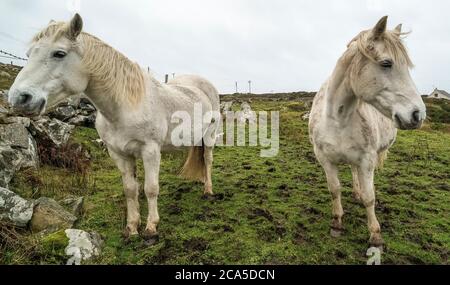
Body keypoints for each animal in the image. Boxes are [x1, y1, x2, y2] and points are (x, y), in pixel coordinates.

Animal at [8, 13, 220, 240]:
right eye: (29, 54)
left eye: (59, 53)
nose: (18, 98)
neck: (124, 107)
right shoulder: (119, 153)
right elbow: (130, 189)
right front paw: (132, 228)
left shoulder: (151, 151)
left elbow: (150, 188)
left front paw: (151, 228)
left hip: (209, 137)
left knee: (208, 160)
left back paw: (208, 190)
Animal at [310, 16, 426, 246]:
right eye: (386, 63)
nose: (418, 114)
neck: (338, 119)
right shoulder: (325, 159)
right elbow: (334, 189)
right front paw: (337, 222)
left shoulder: (366, 160)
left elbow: (369, 197)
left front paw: (375, 235)